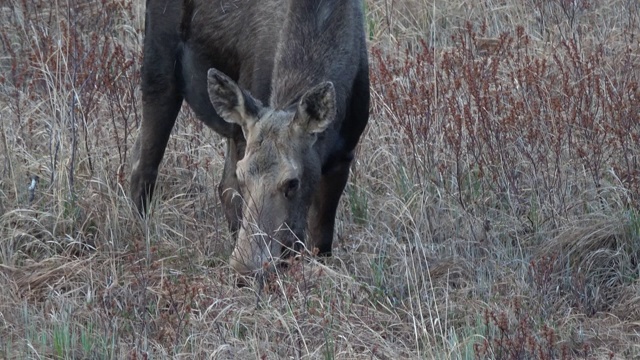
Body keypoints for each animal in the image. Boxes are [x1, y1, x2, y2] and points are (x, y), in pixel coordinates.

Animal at [130, 0, 370, 274]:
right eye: (243, 176)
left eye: (293, 182)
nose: (244, 267)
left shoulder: (344, 153)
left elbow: (321, 241)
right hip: (158, 65)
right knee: (144, 165)